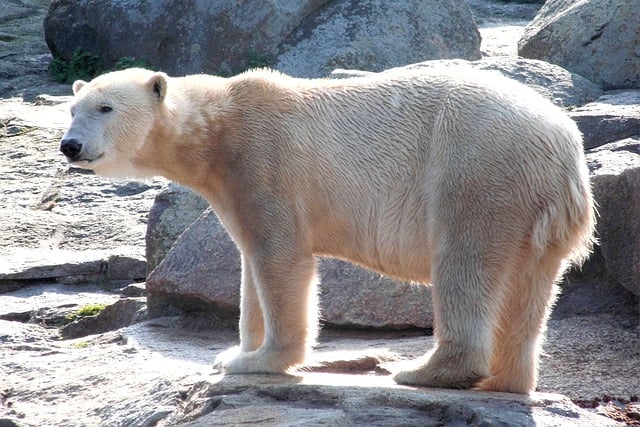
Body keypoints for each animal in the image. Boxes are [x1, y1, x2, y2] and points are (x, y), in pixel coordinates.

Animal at [60, 67, 596, 394]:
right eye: (73, 108)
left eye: (106, 108)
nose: (70, 146)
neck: (218, 129)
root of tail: (564, 144)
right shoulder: (232, 184)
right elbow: (249, 264)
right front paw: (235, 351)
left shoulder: (264, 163)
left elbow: (280, 257)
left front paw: (258, 361)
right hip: (534, 209)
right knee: (530, 288)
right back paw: (505, 380)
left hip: (477, 171)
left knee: (464, 263)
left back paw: (425, 371)